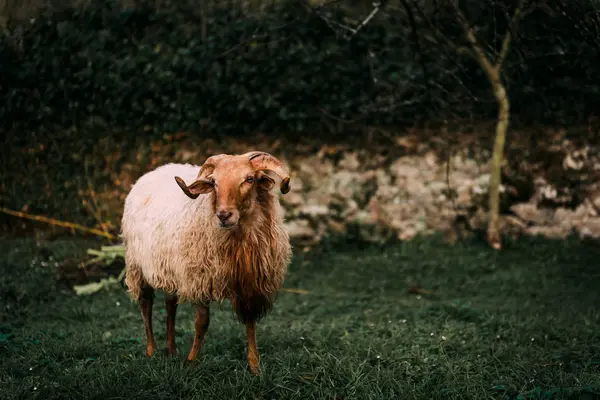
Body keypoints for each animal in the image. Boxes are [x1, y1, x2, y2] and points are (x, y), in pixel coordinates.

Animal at [120, 151, 292, 376]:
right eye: (214, 182)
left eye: (249, 179)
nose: (224, 215)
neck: (240, 240)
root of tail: (154, 171)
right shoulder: (199, 277)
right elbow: (202, 323)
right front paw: (192, 361)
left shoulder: (249, 284)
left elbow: (250, 321)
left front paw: (255, 366)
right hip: (138, 265)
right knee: (145, 305)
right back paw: (151, 350)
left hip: (169, 266)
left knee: (170, 305)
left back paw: (171, 349)